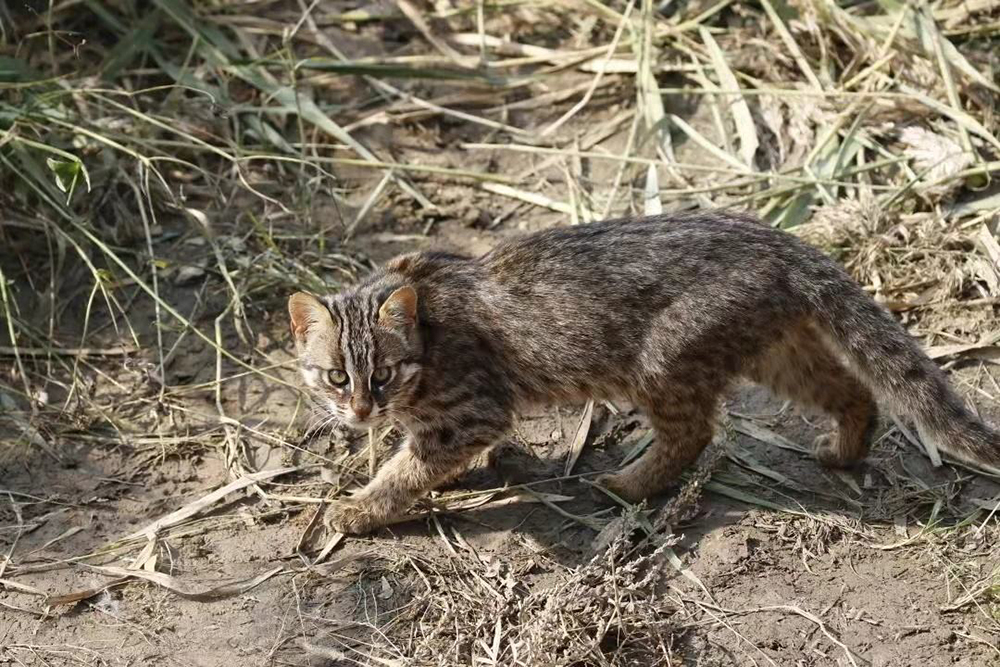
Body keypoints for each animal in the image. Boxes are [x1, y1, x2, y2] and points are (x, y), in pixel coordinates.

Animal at [286, 211, 996, 536]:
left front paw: (357, 509)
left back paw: (629, 485)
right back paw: (843, 452)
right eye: (336, 378)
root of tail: (776, 238)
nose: (359, 413)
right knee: (854, 389)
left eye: (382, 374)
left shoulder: (472, 411)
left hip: (661, 364)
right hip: (774, 351)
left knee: (694, 433)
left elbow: (405, 470)